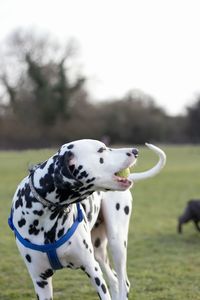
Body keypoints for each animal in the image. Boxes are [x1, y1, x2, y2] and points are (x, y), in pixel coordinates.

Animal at [8, 139, 166, 298]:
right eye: (101, 150)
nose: (135, 151)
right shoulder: (41, 281)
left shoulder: (93, 270)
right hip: (99, 250)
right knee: (114, 280)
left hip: (117, 244)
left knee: (123, 283)